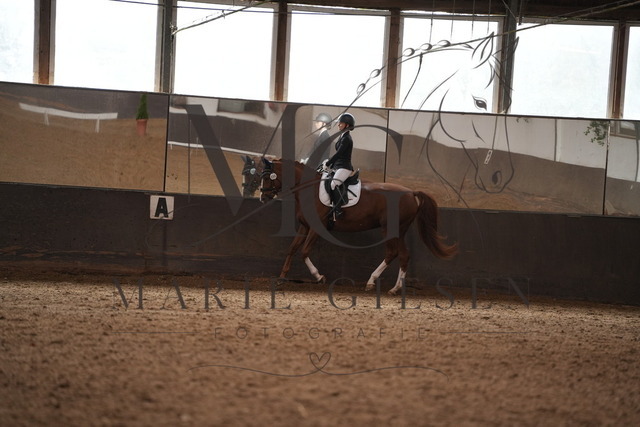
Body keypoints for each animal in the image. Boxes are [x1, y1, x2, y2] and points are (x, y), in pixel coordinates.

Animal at [259, 158, 457, 295]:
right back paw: (394, 289)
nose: (262, 198)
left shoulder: (317, 227)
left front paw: (319, 276)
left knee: (393, 253)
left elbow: (304, 252)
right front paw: (282, 277)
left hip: (389, 229)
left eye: (268, 177)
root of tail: (410, 192)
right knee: (403, 255)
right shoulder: (304, 226)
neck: (309, 189)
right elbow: (292, 249)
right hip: (399, 231)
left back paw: (372, 282)